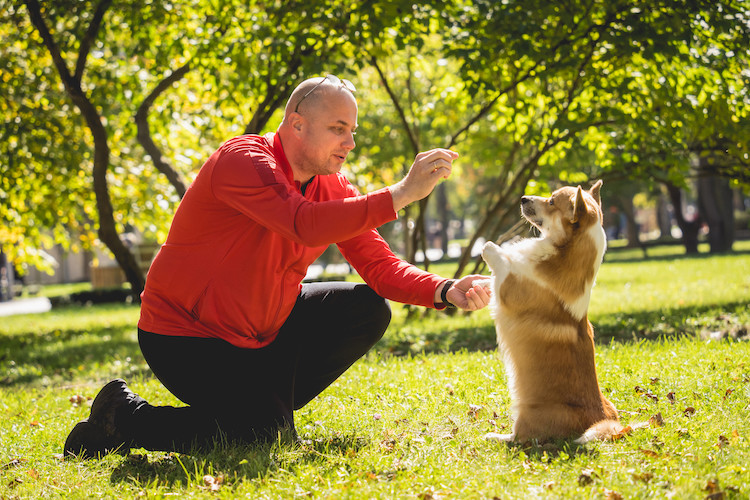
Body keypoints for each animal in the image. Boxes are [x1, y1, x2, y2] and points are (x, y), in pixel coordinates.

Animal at [478, 181, 624, 446]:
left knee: (520, 437)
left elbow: (504, 262)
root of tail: (600, 419)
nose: (523, 198)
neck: (562, 250)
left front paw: (491, 247)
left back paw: (496, 435)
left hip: (527, 411)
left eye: (552, 201)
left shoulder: (509, 288)